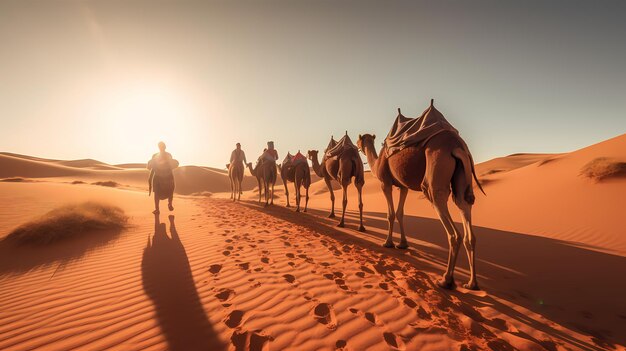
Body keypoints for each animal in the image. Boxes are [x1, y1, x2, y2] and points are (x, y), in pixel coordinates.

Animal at [356, 101, 482, 288]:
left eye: (359, 139)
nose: (357, 146)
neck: (378, 162)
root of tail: (457, 146)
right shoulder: (403, 187)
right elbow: (400, 213)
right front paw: (403, 244)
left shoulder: (385, 183)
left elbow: (390, 214)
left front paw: (388, 243)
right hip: (462, 179)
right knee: (466, 217)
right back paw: (472, 283)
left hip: (434, 174)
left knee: (452, 230)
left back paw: (446, 280)